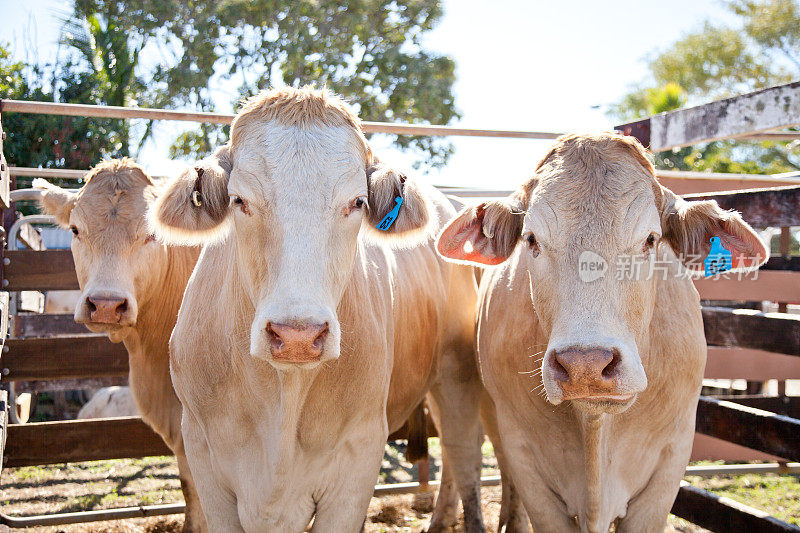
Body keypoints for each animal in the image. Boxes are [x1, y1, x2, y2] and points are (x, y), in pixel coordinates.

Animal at [150, 87, 488, 532]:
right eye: (239, 200)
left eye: (357, 202)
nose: (298, 336)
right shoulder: (203, 457)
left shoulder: (358, 459)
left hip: (457, 374)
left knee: (462, 453)